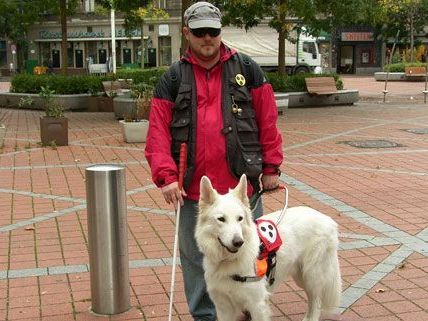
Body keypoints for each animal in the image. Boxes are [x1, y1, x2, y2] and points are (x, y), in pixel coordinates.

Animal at [196, 175, 342, 320]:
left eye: (240, 218)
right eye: (221, 219)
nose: (238, 242)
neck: (228, 261)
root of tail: (328, 219)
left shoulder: (257, 305)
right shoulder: (223, 307)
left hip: (312, 275)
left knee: (316, 301)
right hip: (301, 275)